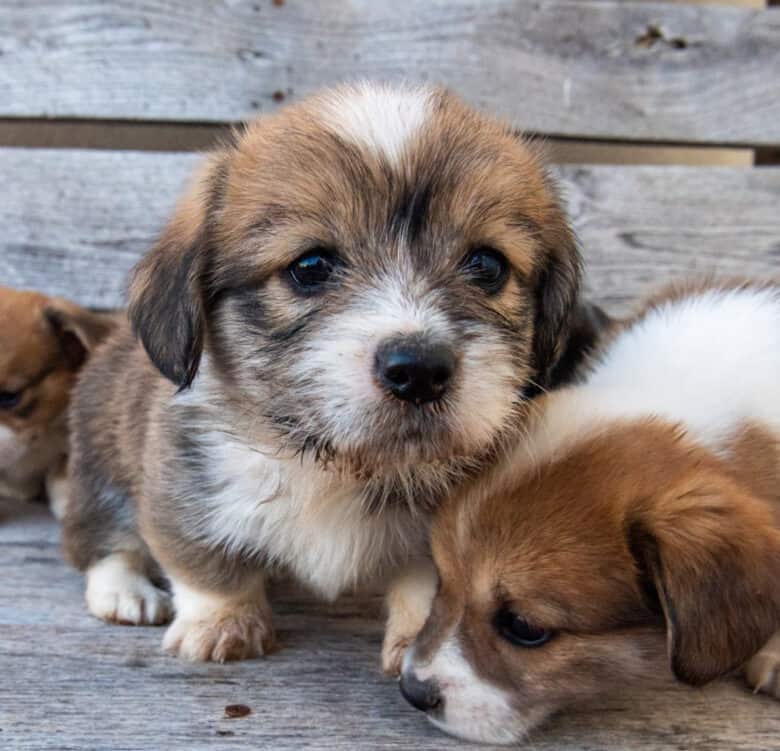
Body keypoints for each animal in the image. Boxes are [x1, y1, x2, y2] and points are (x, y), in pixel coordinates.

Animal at [64, 82, 608, 668]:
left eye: (487, 265)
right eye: (310, 266)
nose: (419, 370)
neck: (336, 463)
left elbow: (426, 582)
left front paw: (416, 640)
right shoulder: (183, 490)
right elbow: (205, 564)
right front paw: (221, 624)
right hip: (101, 475)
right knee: (100, 542)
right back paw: (125, 592)